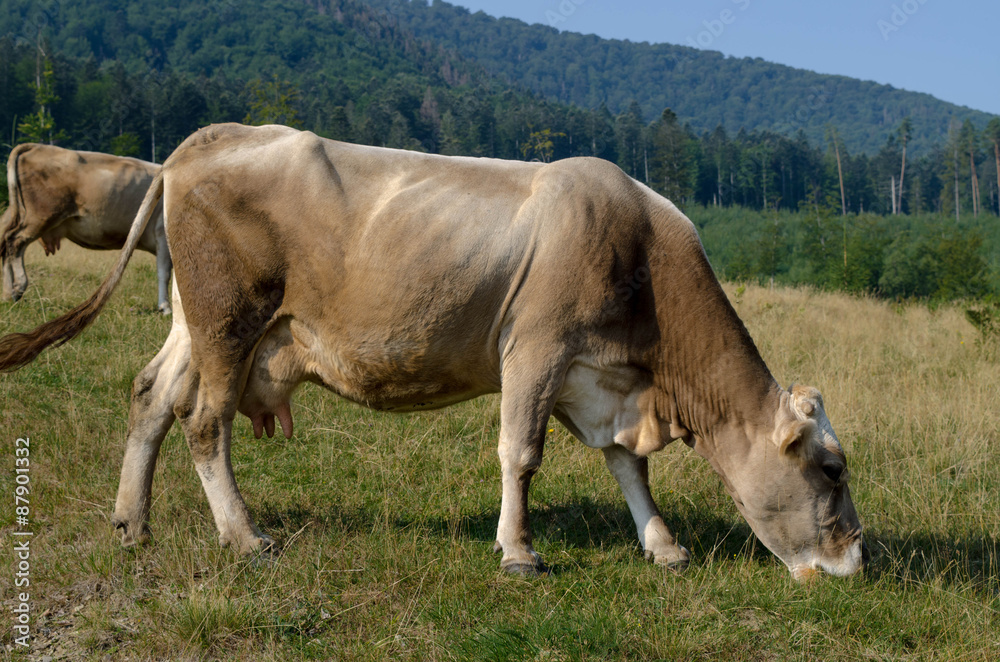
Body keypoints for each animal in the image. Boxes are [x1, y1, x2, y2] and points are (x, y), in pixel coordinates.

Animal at [0, 143, 172, 313]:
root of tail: (37, 146)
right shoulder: (162, 237)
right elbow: (164, 273)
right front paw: (165, 307)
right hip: (41, 216)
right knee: (14, 242)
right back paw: (18, 286)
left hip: (20, 215)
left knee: (5, 243)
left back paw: (8, 293)